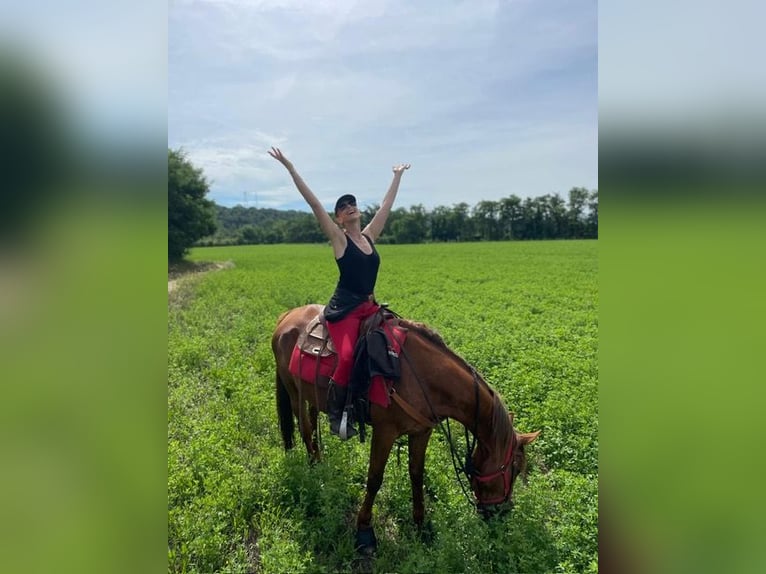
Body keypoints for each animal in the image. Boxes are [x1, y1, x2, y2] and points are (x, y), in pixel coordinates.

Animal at [270, 306, 540, 552]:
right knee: (305, 429)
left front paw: (420, 525)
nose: (501, 514)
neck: (422, 378)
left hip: (313, 395)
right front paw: (364, 530)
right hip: (294, 391)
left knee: (313, 423)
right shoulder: (385, 432)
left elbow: (416, 475)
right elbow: (374, 479)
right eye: (515, 469)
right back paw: (314, 471)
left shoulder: (421, 432)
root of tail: (287, 316)